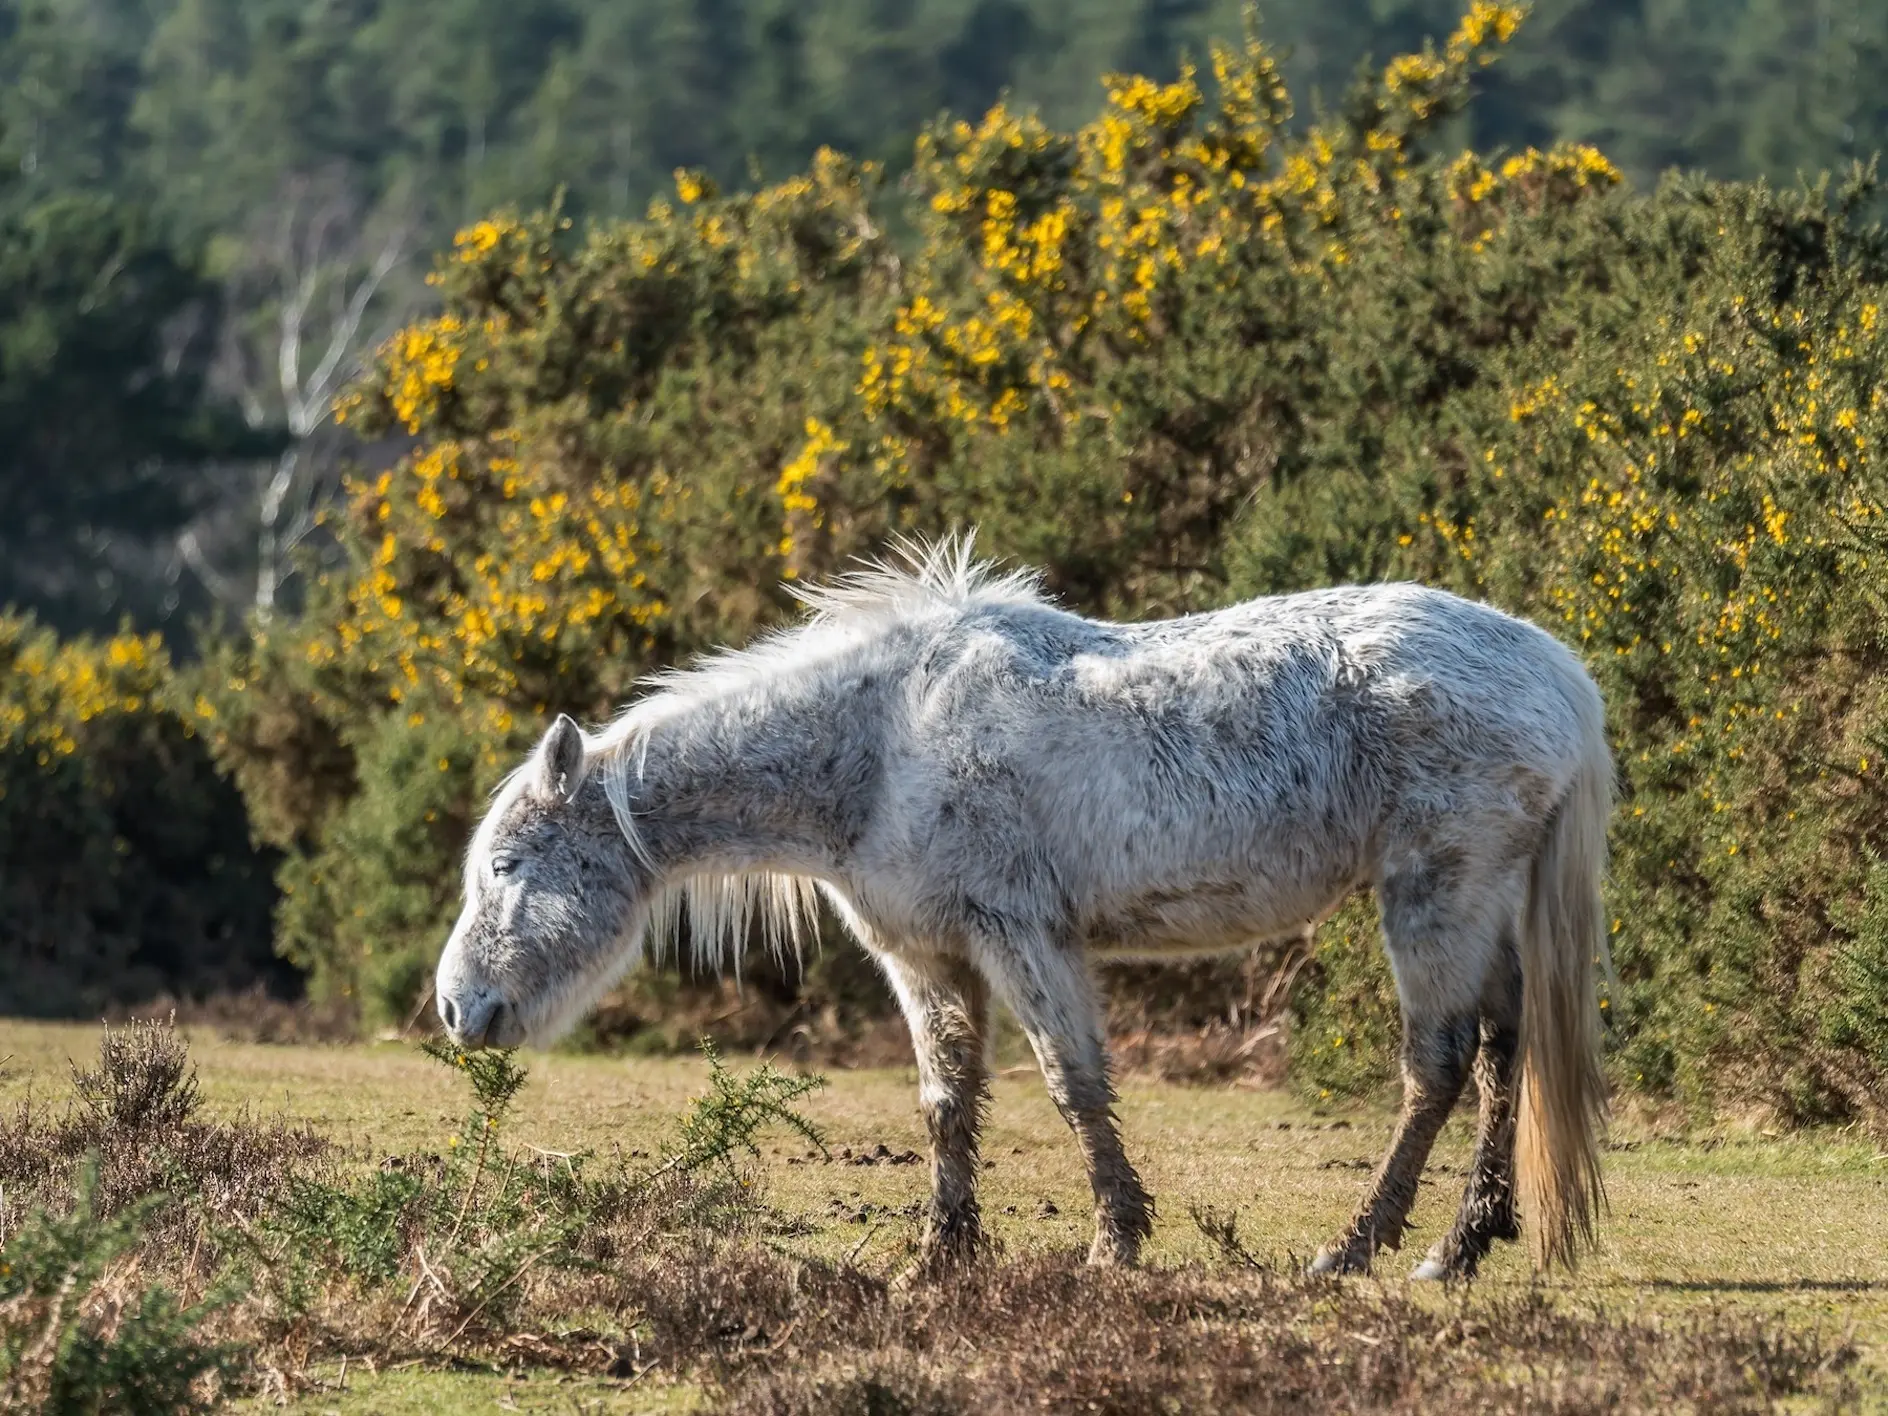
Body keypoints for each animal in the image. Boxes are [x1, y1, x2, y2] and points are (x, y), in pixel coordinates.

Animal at [432, 536, 1608, 1283]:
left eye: (507, 866)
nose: (456, 1011)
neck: (877, 744)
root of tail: (1559, 675)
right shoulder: (924, 957)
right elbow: (946, 1101)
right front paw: (938, 1258)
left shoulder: (1021, 935)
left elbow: (1071, 1085)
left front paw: (1114, 1243)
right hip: (1480, 899)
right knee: (1503, 1049)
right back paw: (1465, 1244)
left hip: (1433, 891)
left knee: (1438, 1064)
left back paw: (1359, 1249)